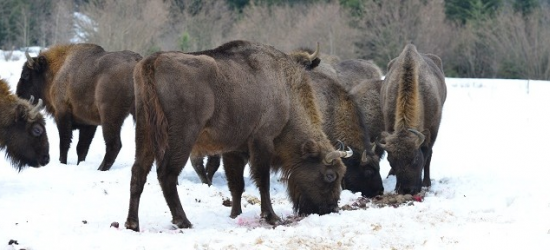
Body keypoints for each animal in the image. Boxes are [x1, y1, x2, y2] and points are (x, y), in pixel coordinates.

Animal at [125, 40, 350, 230]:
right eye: (330, 175)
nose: (331, 208)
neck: (285, 94)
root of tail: (153, 62)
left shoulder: (235, 150)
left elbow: (236, 184)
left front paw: (235, 214)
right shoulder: (262, 141)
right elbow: (262, 180)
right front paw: (271, 216)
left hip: (145, 133)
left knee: (138, 172)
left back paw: (132, 224)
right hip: (181, 137)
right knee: (167, 174)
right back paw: (183, 221)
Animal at [382, 43, 446, 195]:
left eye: (415, 159)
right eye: (391, 161)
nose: (406, 190)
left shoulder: (432, 130)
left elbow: (428, 154)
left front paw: (426, 183)